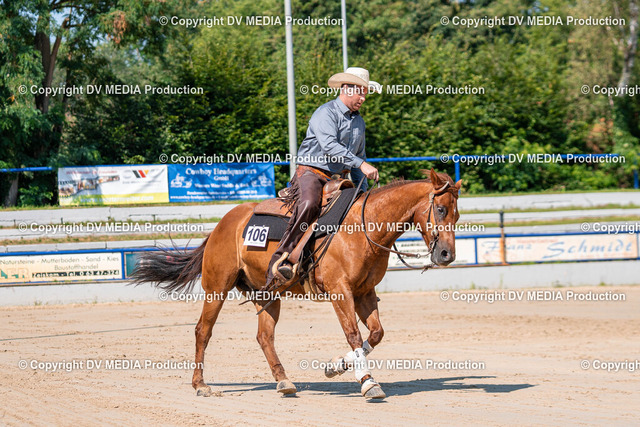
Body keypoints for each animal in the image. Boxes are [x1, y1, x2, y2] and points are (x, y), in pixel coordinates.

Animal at [131, 168, 461, 399]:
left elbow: (376, 334)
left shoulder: (364, 292)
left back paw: (284, 382)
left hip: (267, 294)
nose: (447, 254)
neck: (363, 226)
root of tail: (221, 224)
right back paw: (201, 385)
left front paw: (335, 366)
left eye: (457, 215)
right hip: (217, 288)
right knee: (203, 331)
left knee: (264, 337)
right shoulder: (340, 292)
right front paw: (368, 382)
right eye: (440, 209)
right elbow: (354, 334)